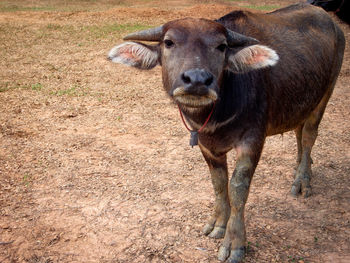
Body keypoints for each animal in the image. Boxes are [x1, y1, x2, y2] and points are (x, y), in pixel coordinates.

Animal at [107, 2, 344, 263]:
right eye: (168, 42)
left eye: (221, 46)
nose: (197, 80)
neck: (217, 113)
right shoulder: (205, 144)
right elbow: (218, 183)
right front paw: (219, 223)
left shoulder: (252, 141)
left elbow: (238, 188)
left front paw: (235, 243)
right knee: (299, 133)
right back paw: (301, 167)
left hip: (326, 93)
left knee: (310, 134)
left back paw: (302, 180)